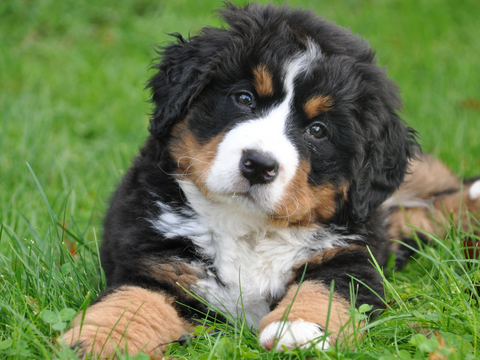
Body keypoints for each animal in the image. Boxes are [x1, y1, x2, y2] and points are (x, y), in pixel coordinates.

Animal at [62, 2, 480, 358]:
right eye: (244, 98)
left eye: (317, 130)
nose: (259, 165)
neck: (249, 229)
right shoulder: (153, 258)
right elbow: (132, 302)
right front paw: (98, 339)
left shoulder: (353, 256)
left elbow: (323, 288)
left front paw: (299, 328)